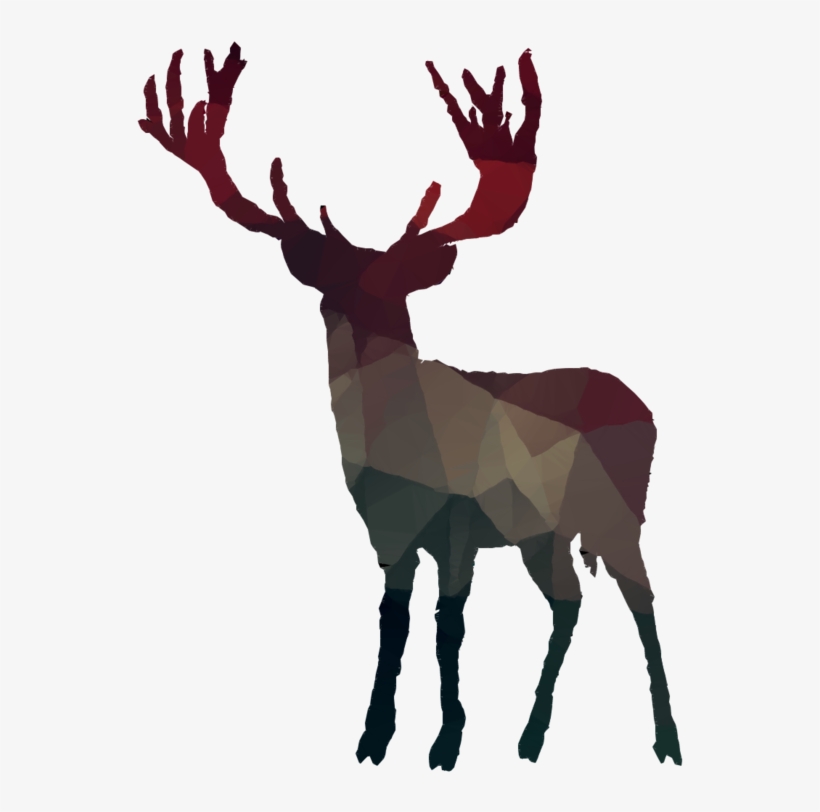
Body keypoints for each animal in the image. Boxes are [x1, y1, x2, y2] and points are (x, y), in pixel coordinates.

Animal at [139, 43, 682, 772]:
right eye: (334, 287)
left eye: (395, 287)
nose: (362, 334)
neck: (408, 449)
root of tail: (643, 408)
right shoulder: (387, 529)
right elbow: (392, 620)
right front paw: (374, 736)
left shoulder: (460, 520)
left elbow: (449, 625)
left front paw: (446, 742)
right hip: (543, 531)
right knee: (569, 601)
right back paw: (531, 736)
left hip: (618, 513)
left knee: (642, 599)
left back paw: (665, 739)